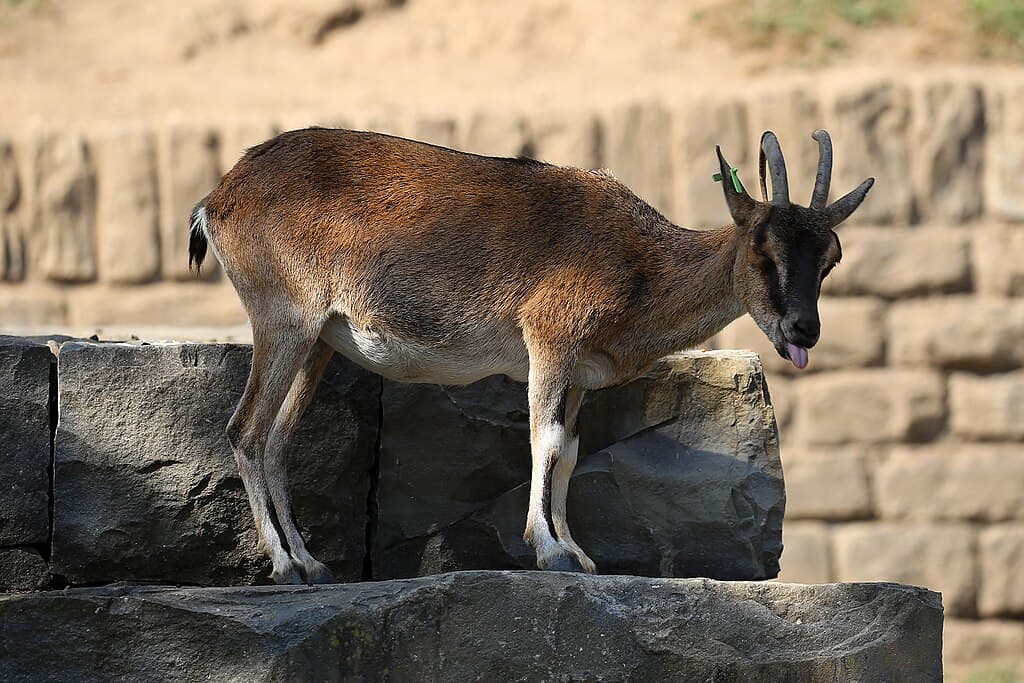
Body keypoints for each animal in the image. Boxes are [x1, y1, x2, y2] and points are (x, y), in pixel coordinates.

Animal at [188, 127, 872, 583]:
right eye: (761, 248)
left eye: (832, 256)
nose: (804, 329)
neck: (642, 265)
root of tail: (217, 200)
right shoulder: (550, 337)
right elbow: (542, 438)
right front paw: (549, 551)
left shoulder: (581, 373)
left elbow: (567, 449)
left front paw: (581, 554)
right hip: (284, 317)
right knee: (246, 430)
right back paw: (284, 567)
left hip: (319, 343)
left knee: (278, 439)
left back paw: (311, 564)